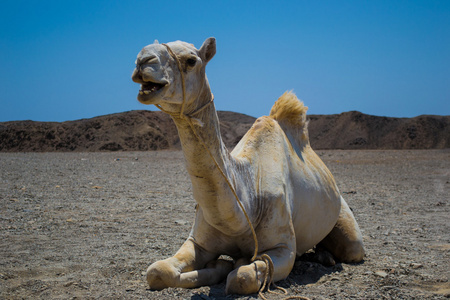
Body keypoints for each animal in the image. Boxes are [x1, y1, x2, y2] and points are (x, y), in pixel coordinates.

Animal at [132, 37, 364, 296]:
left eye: (191, 60)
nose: (143, 60)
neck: (248, 201)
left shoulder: (283, 248)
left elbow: (241, 277)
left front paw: (230, 266)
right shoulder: (198, 242)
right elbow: (157, 272)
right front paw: (220, 265)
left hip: (346, 223)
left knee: (351, 248)